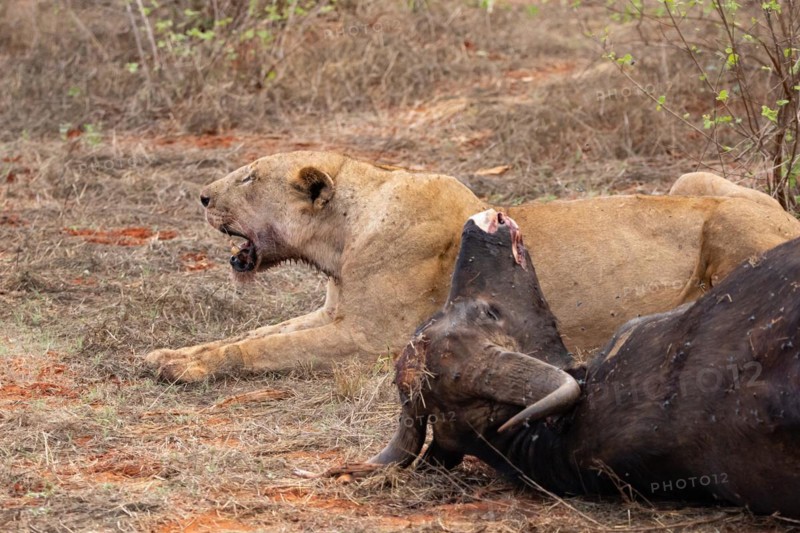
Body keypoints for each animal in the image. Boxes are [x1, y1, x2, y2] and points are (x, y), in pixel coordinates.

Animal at [144, 151, 800, 382]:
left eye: (249, 178)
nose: (201, 195)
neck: (340, 241)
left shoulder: (370, 339)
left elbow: (265, 347)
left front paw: (184, 369)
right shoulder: (335, 315)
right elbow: (254, 334)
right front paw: (169, 355)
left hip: (729, 228)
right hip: (692, 180)